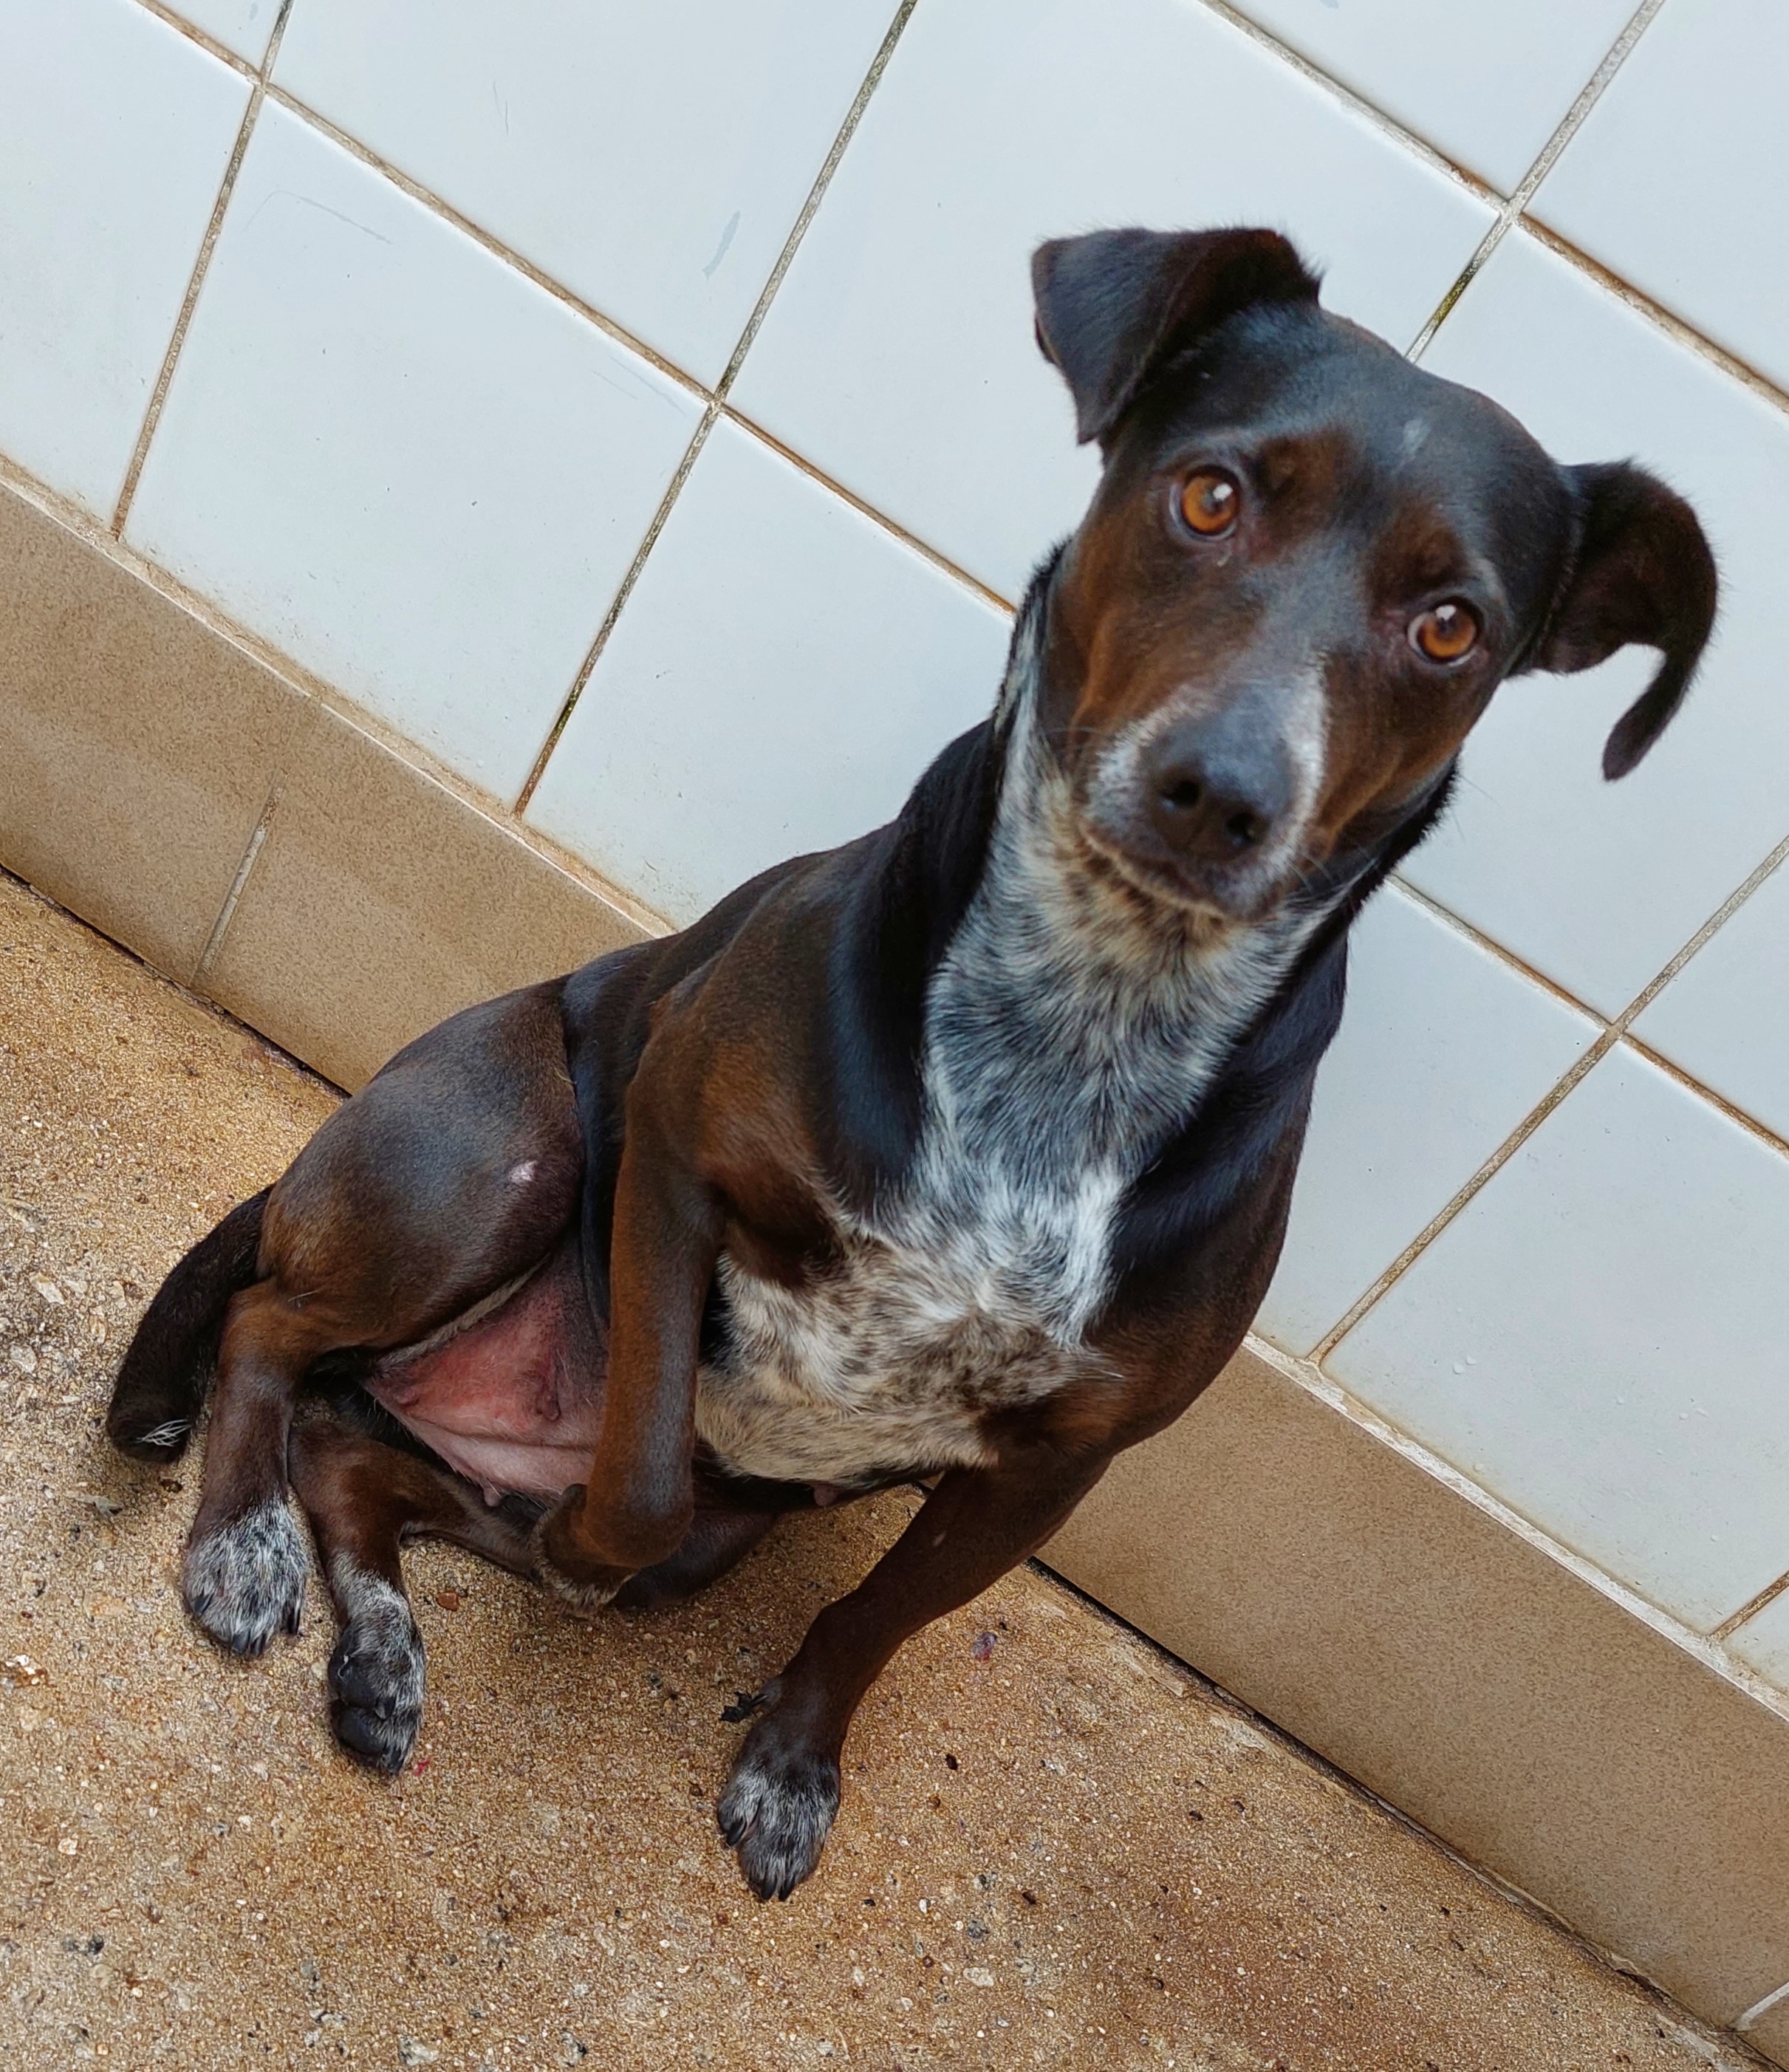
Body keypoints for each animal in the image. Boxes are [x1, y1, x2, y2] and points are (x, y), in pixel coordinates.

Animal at [104, 222, 1716, 1898]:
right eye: (1207, 496)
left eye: (1449, 625)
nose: (1221, 789)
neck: (1085, 1004)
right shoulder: (670, 1160)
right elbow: (640, 1476)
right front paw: (577, 1554)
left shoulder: (1055, 1459)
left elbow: (879, 1611)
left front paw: (794, 1760)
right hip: (502, 1155)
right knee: (275, 1333)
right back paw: (240, 1540)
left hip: (650, 1510)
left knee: (357, 1461)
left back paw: (380, 1651)